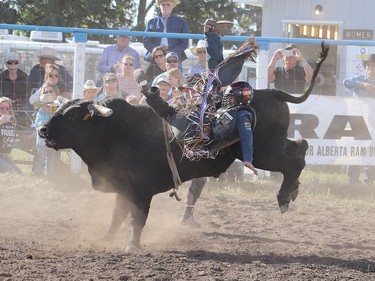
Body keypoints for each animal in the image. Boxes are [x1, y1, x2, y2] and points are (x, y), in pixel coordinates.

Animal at [39, 43, 328, 252]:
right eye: (59, 110)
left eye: (72, 116)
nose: (43, 131)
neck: (114, 132)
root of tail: (270, 92)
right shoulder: (123, 187)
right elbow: (116, 216)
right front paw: (106, 239)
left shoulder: (140, 190)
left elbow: (136, 218)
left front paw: (132, 246)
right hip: (273, 146)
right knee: (300, 147)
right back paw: (292, 191)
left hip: (262, 153)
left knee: (294, 162)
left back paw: (283, 198)